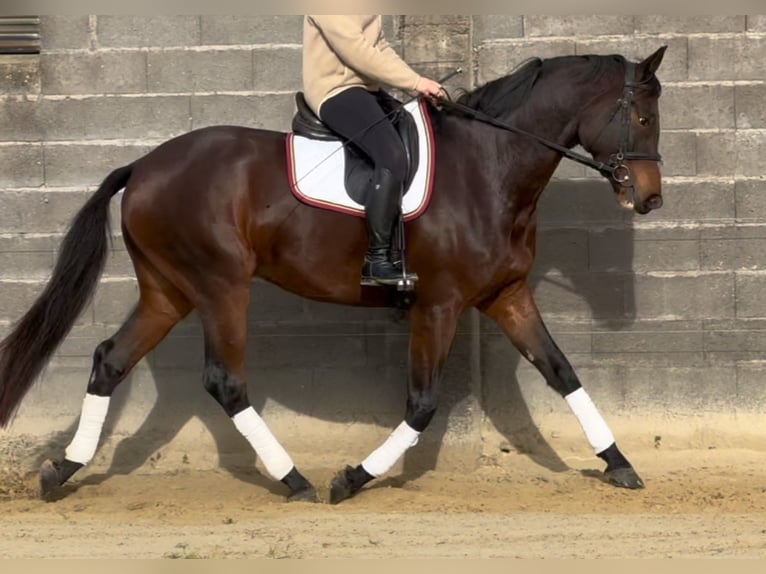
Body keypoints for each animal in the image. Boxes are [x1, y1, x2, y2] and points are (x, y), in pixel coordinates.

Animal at [0, 46, 667, 504]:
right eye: (640, 118)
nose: (650, 198)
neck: (489, 167)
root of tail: (142, 166)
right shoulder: (439, 305)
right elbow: (422, 404)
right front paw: (353, 477)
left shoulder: (507, 295)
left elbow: (562, 372)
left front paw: (619, 463)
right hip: (221, 287)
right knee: (225, 381)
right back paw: (294, 479)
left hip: (169, 292)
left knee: (111, 360)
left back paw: (62, 471)